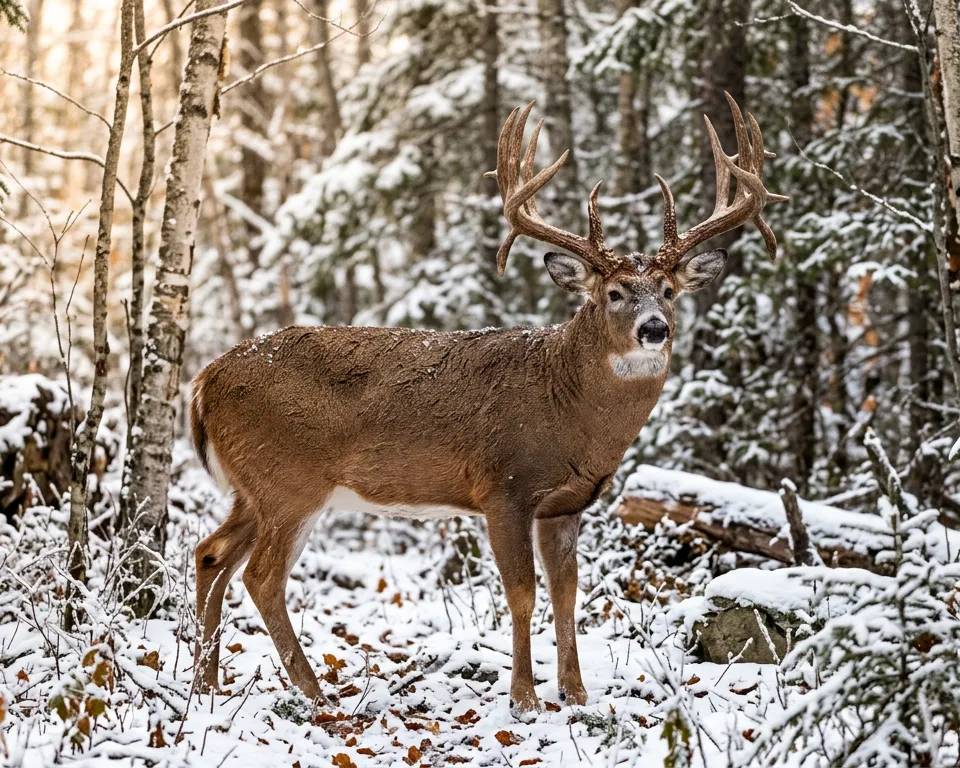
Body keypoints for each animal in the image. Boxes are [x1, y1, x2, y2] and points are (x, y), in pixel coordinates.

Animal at [190, 92, 787, 713]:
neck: (567, 407)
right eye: (614, 292)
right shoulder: (503, 487)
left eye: (669, 291)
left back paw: (207, 684)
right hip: (290, 481)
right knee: (261, 576)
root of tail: (205, 378)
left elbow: (568, 593)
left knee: (211, 553)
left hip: (252, 487)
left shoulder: (566, 504)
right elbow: (521, 592)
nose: (654, 328)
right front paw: (524, 696)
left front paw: (576, 692)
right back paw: (312, 690)